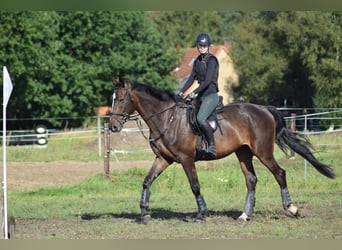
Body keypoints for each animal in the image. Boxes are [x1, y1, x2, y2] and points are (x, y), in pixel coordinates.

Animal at [108, 78, 336, 223]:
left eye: (121, 99)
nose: (113, 127)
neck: (167, 119)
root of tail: (264, 109)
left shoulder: (186, 159)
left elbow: (195, 186)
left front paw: (201, 214)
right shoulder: (163, 158)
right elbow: (147, 181)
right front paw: (144, 213)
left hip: (263, 151)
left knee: (279, 173)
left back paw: (292, 208)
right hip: (243, 152)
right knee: (251, 180)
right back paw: (245, 215)